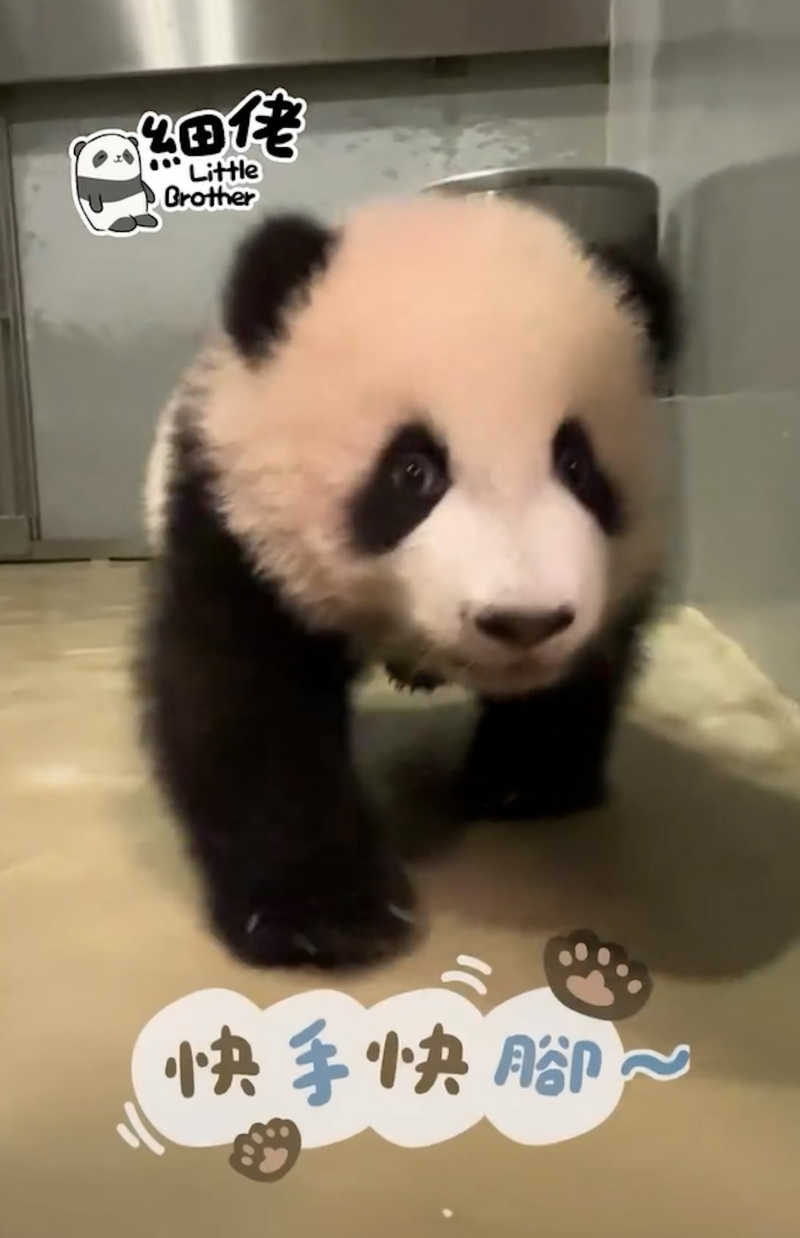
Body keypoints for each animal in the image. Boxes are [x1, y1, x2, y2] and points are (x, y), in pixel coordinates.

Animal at [136, 192, 678, 972]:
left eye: (578, 467)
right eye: (413, 471)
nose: (524, 621)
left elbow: (586, 673)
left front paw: (526, 781)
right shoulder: (233, 518)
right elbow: (240, 695)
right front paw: (324, 918)